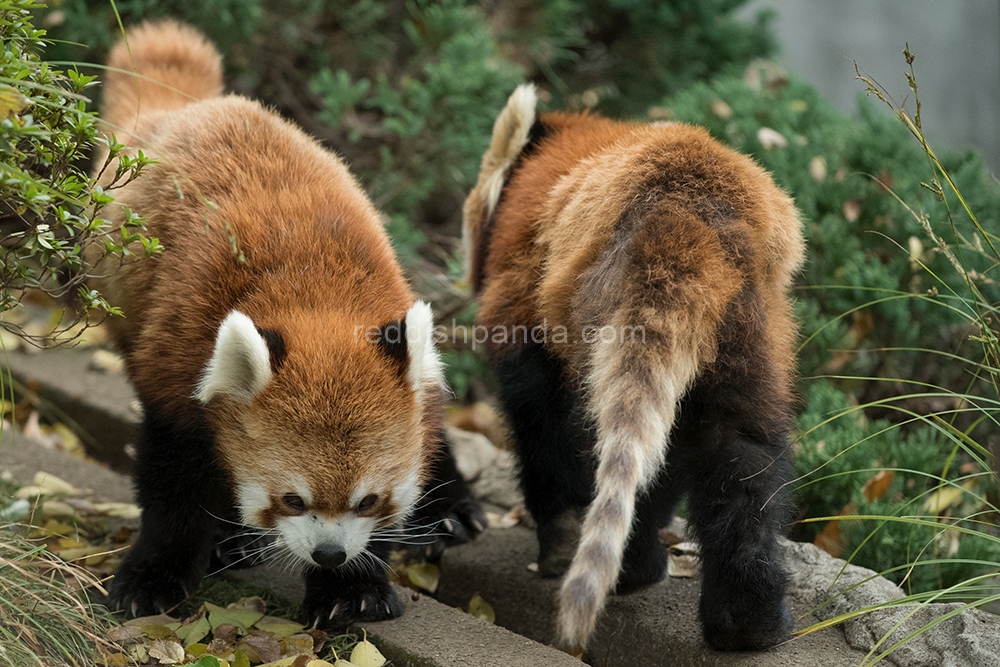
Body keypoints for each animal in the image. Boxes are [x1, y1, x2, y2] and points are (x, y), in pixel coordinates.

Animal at [90, 20, 484, 628]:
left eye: (368, 500)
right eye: (293, 499)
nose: (330, 552)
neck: (316, 295)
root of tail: (192, 111)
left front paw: (351, 588)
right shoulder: (177, 357)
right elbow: (173, 481)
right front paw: (152, 577)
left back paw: (450, 510)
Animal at [462, 85, 804, 652]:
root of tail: (680, 212)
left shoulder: (523, 280)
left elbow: (538, 418)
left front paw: (556, 535)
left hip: (597, 304)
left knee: (587, 428)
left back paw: (615, 561)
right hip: (748, 325)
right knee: (740, 452)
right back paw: (746, 622)